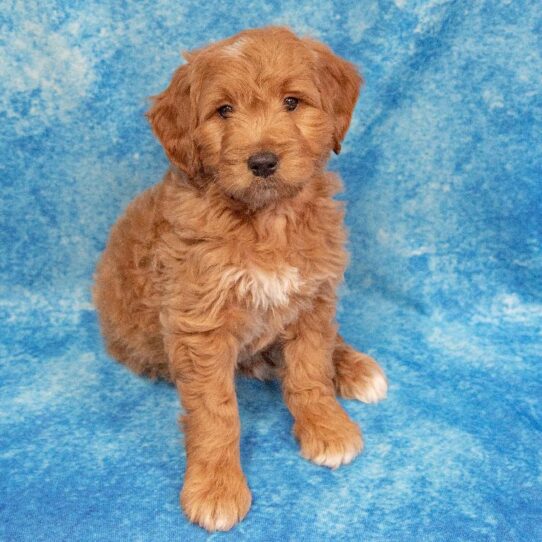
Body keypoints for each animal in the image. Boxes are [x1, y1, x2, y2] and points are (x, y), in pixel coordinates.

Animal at [95, 27, 388, 532]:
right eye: (223, 111)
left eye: (291, 102)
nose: (263, 161)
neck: (266, 220)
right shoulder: (201, 324)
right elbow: (216, 413)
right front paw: (216, 486)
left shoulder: (312, 298)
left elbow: (310, 371)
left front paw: (326, 424)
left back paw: (353, 366)